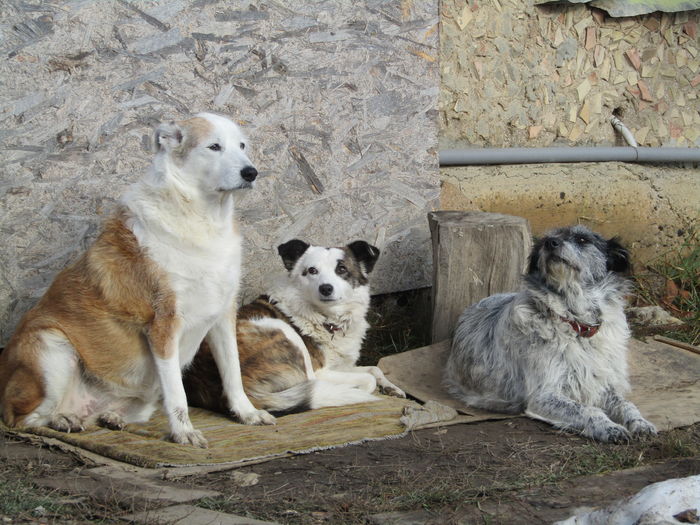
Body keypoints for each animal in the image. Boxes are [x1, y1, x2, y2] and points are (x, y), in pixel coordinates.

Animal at [0, 111, 274, 446]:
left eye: (242, 145)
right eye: (214, 146)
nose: (251, 172)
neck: (200, 216)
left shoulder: (223, 315)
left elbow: (233, 374)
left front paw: (247, 414)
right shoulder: (164, 325)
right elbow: (178, 393)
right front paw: (184, 433)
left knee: (102, 415)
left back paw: (110, 416)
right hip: (52, 347)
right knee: (23, 420)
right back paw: (62, 420)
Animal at [183, 238, 408, 414]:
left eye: (342, 269)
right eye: (312, 271)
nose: (326, 288)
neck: (327, 320)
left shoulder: (342, 366)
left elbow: (374, 369)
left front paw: (391, 388)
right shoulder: (322, 371)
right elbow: (368, 378)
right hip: (284, 333)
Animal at [446, 225, 660, 442]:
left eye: (582, 239)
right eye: (544, 242)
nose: (551, 243)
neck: (577, 325)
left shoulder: (603, 385)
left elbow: (626, 404)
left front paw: (641, 423)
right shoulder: (543, 395)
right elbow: (588, 410)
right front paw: (610, 428)